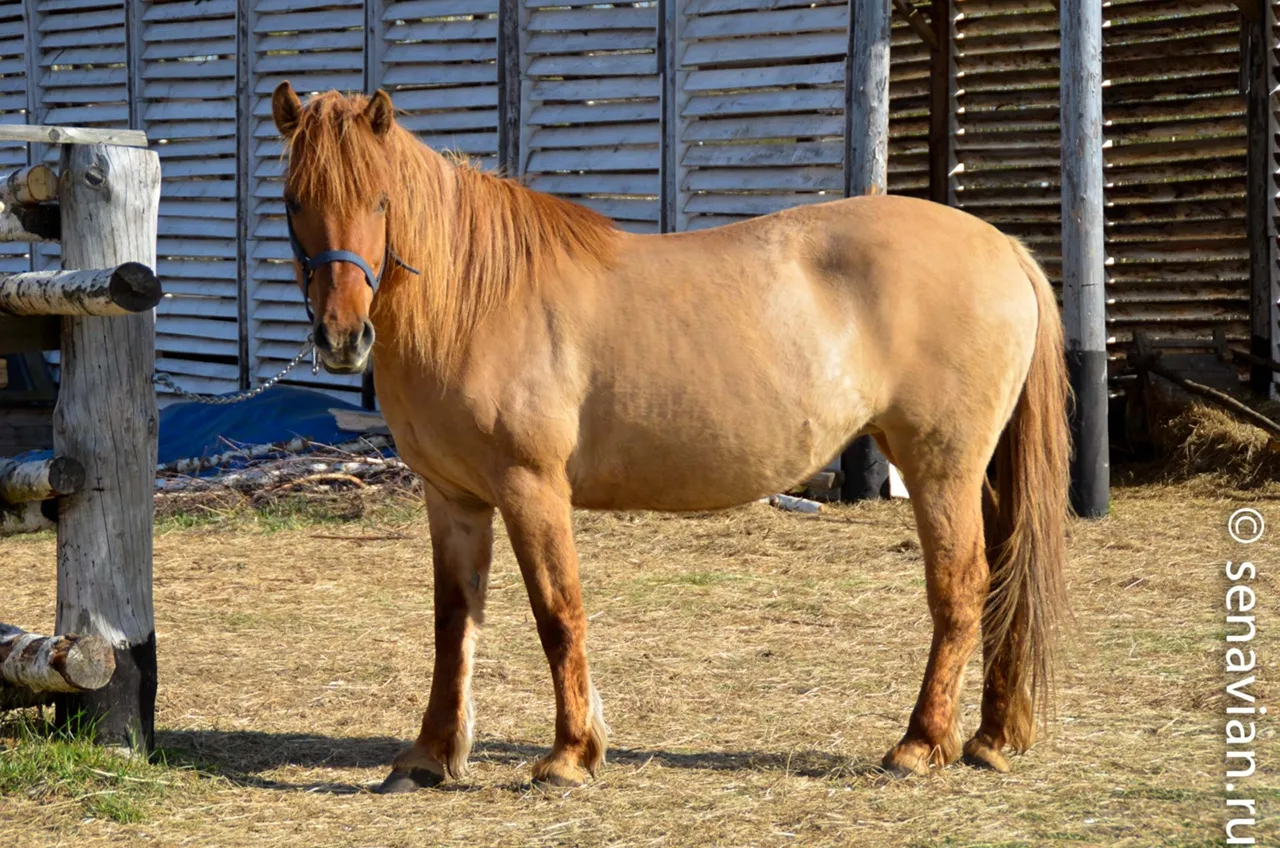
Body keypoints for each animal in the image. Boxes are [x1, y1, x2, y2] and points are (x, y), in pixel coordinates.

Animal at [270, 82, 1070, 792]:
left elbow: (558, 612)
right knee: (1002, 578)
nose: (341, 336)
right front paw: (430, 756)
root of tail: (1003, 248)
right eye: (294, 201)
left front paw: (570, 755)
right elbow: (453, 622)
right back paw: (991, 736)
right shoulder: (454, 499)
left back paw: (920, 744)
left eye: (380, 201)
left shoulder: (531, 488)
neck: (476, 298)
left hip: (941, 469)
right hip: (978, 475)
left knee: (960, 587)